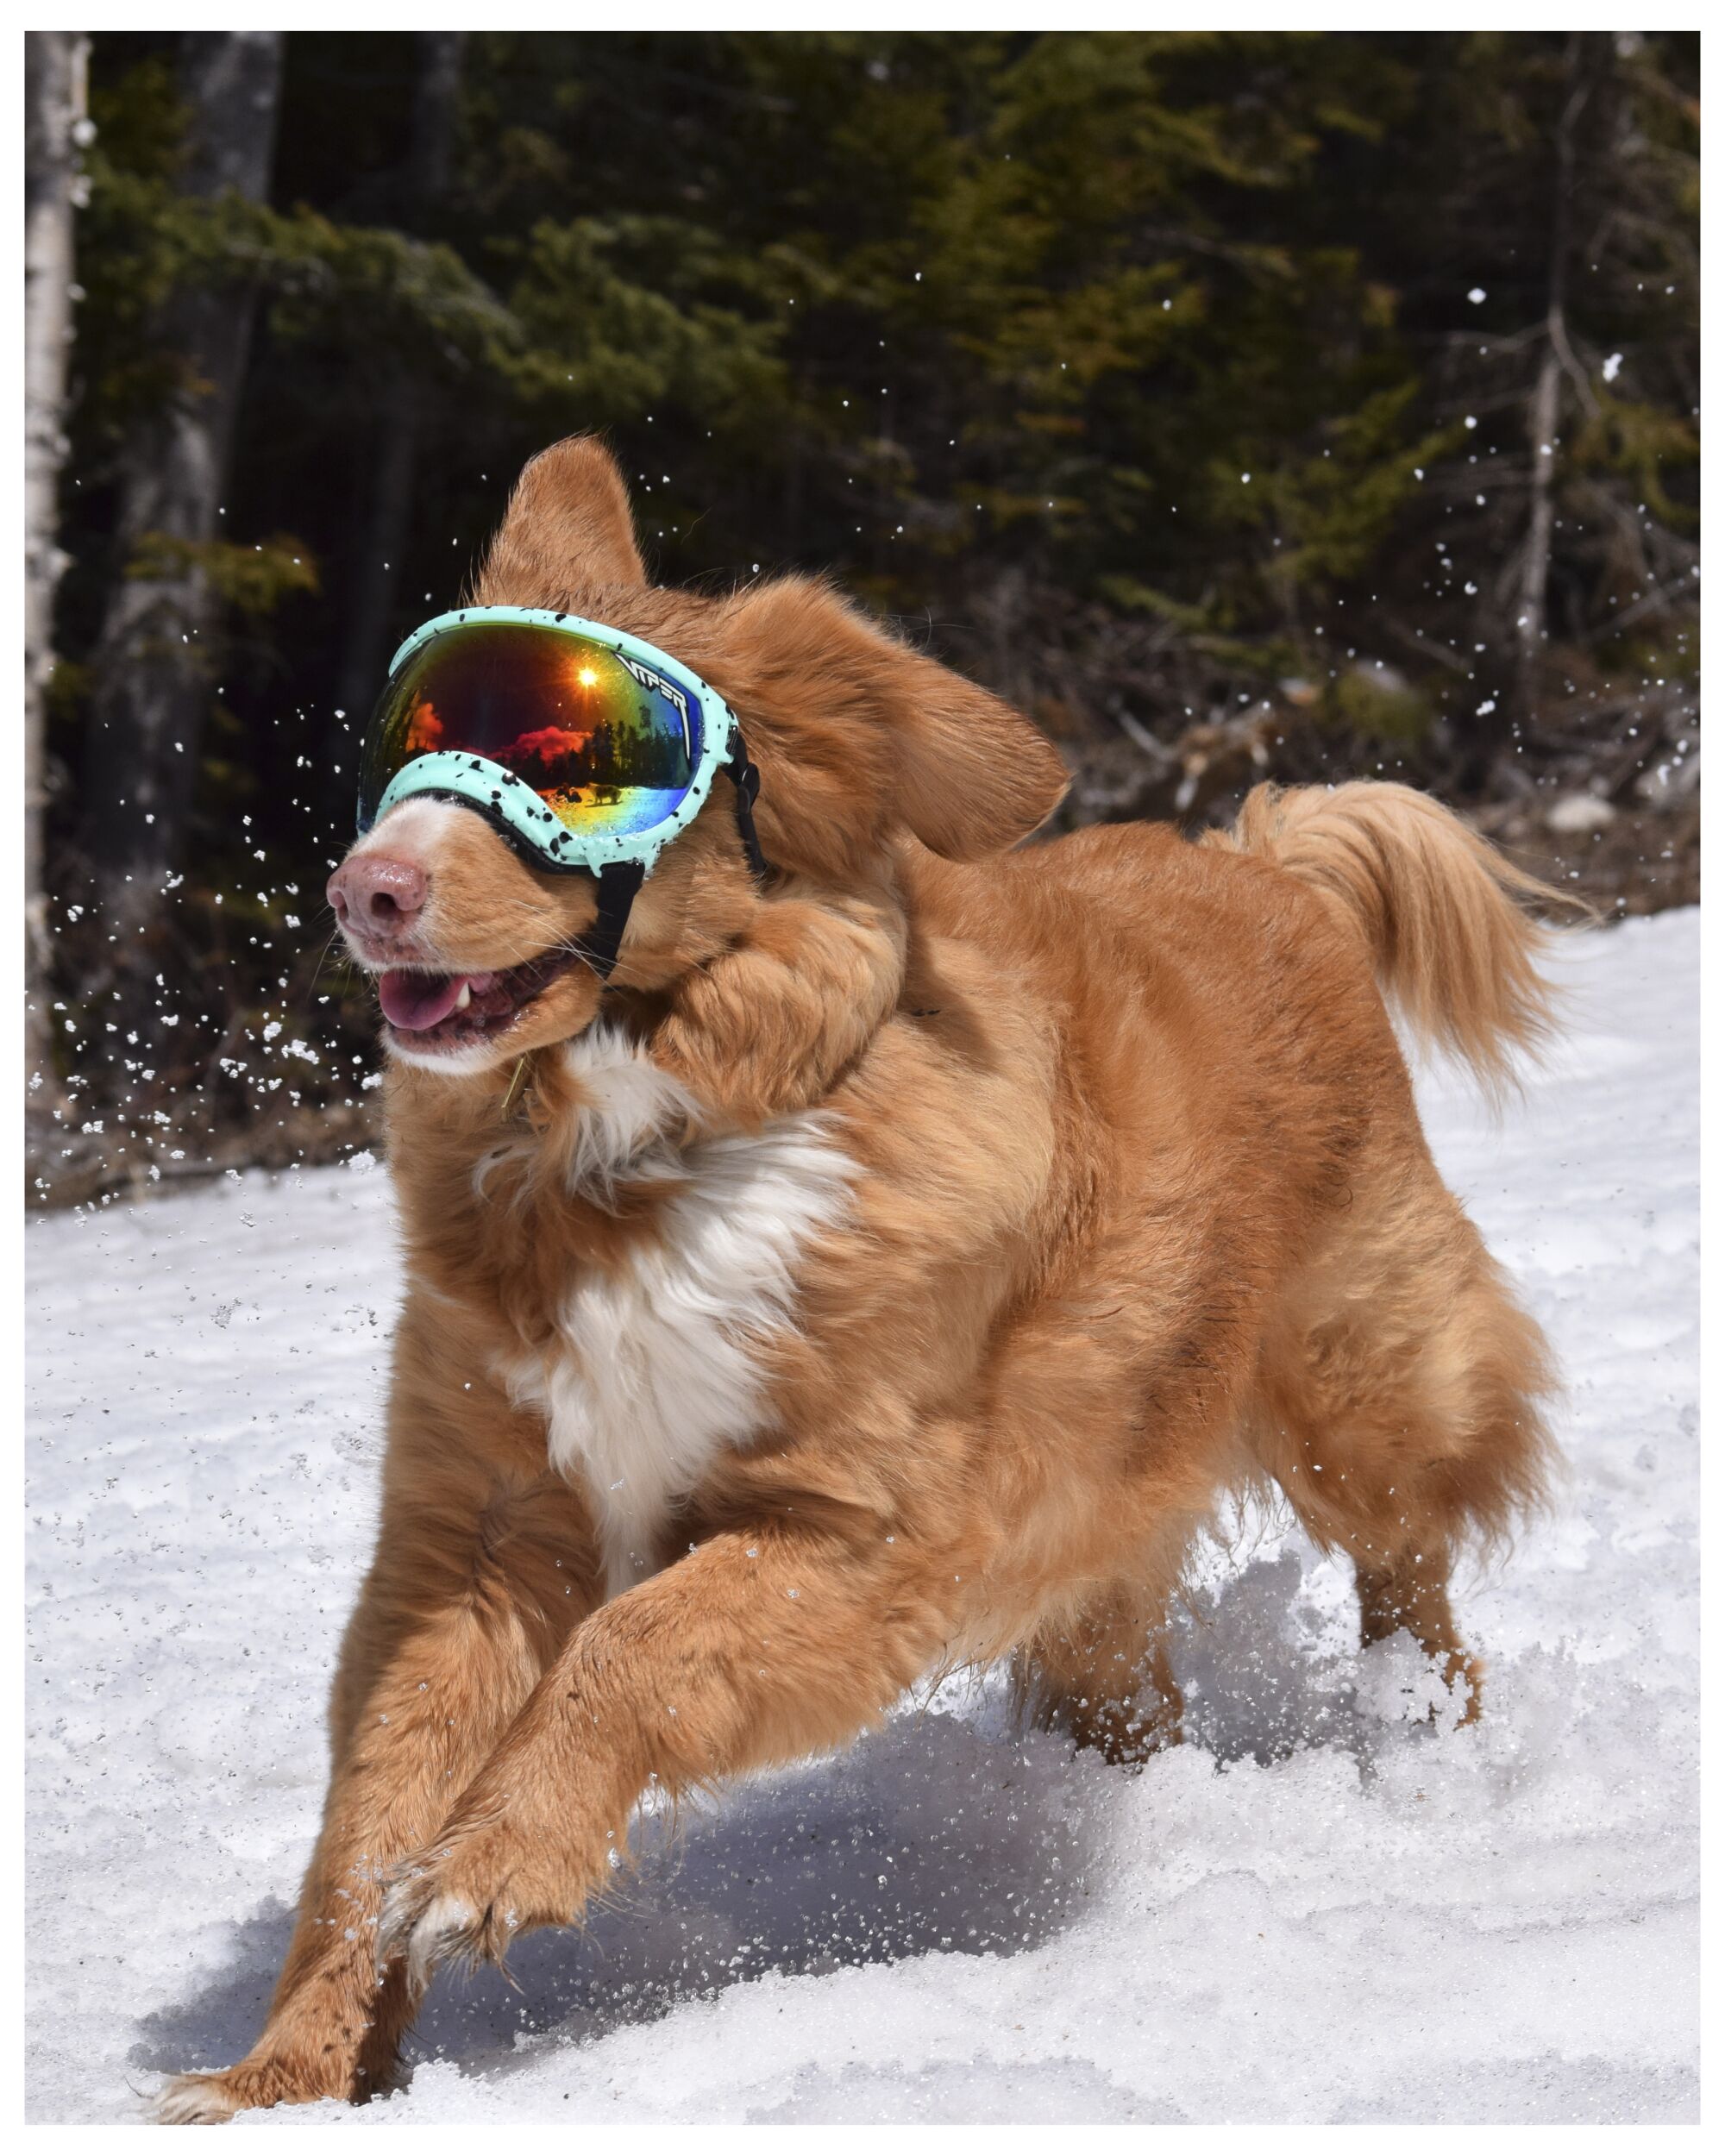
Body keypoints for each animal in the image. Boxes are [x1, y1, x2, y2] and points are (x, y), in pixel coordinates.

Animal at [158, 437, 1561, 2122]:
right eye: (417, 731)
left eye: (587, 761)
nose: (363, 888)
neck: (642, 1148)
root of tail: (1263, 859)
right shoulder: (471, 1540)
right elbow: (367, 1819)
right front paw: (288, 2074)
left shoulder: (861, 1533)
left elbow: (631, 1650)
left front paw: (501, 1862)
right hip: (1102, 1503)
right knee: (1129, 1693)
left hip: (1360, 1385)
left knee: (1414, 1569)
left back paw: (1421, 1753)